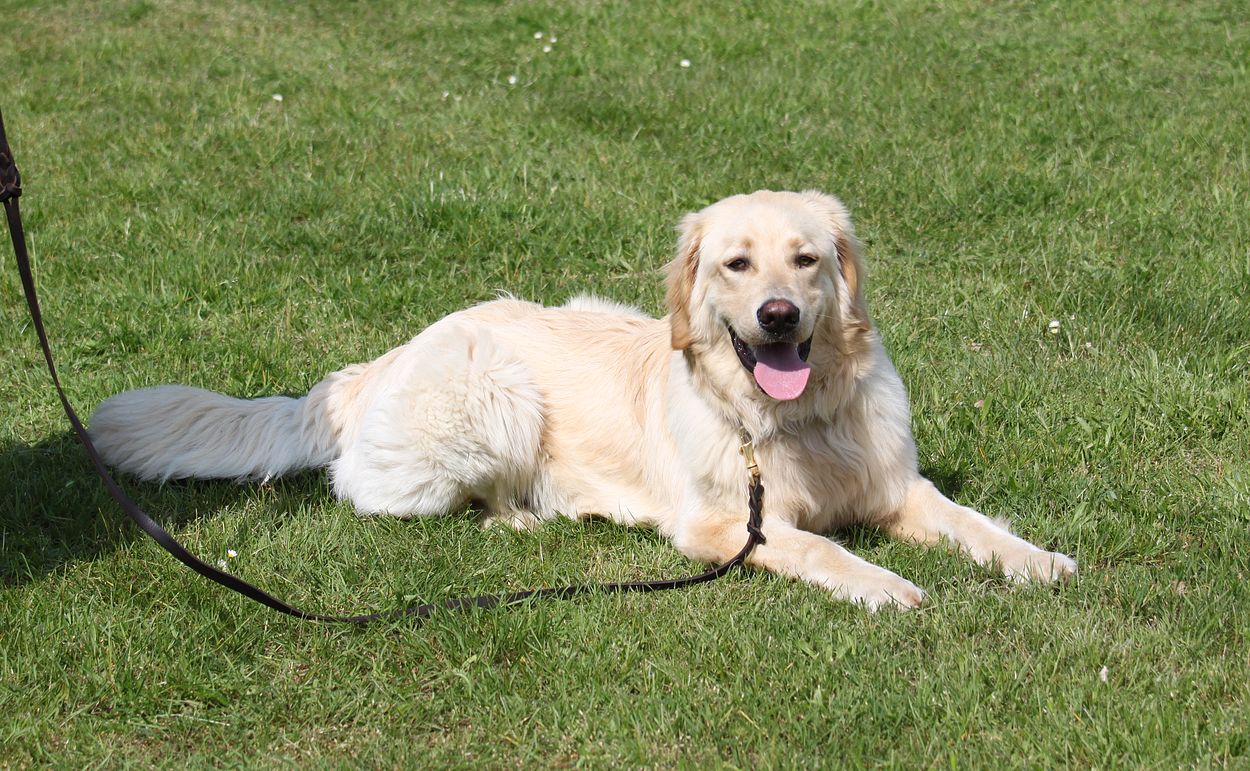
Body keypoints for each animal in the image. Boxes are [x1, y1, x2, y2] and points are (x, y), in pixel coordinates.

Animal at [90, 190, 1076, 610]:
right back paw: (528, 517)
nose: (779, 315)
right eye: (737, 263)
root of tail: (382, 358)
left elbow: (975, 524)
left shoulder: (899, 489)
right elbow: (820, 549)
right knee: (410, 494)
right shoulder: (724, 525)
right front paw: (887, 585)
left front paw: (1038, 561)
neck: (792, 419)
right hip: (492, 390)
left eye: (806, 259)